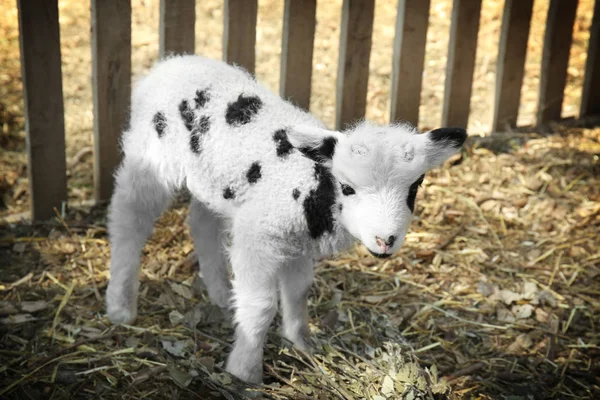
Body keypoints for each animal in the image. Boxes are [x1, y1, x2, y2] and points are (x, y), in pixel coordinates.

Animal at [105, 55, 466, 384]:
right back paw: (120, 305)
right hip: (150, 158)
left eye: (414, 187)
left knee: (202, 224)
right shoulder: (259, 236)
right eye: (347, 188)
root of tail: (167, 64)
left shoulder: (298, 242)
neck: (311, 184)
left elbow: (298, 290)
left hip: (214, 179)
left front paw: (301, 341)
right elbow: (262, 305)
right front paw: (245, 370)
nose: (385, 240)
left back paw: (221, 294)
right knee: (128, 219)